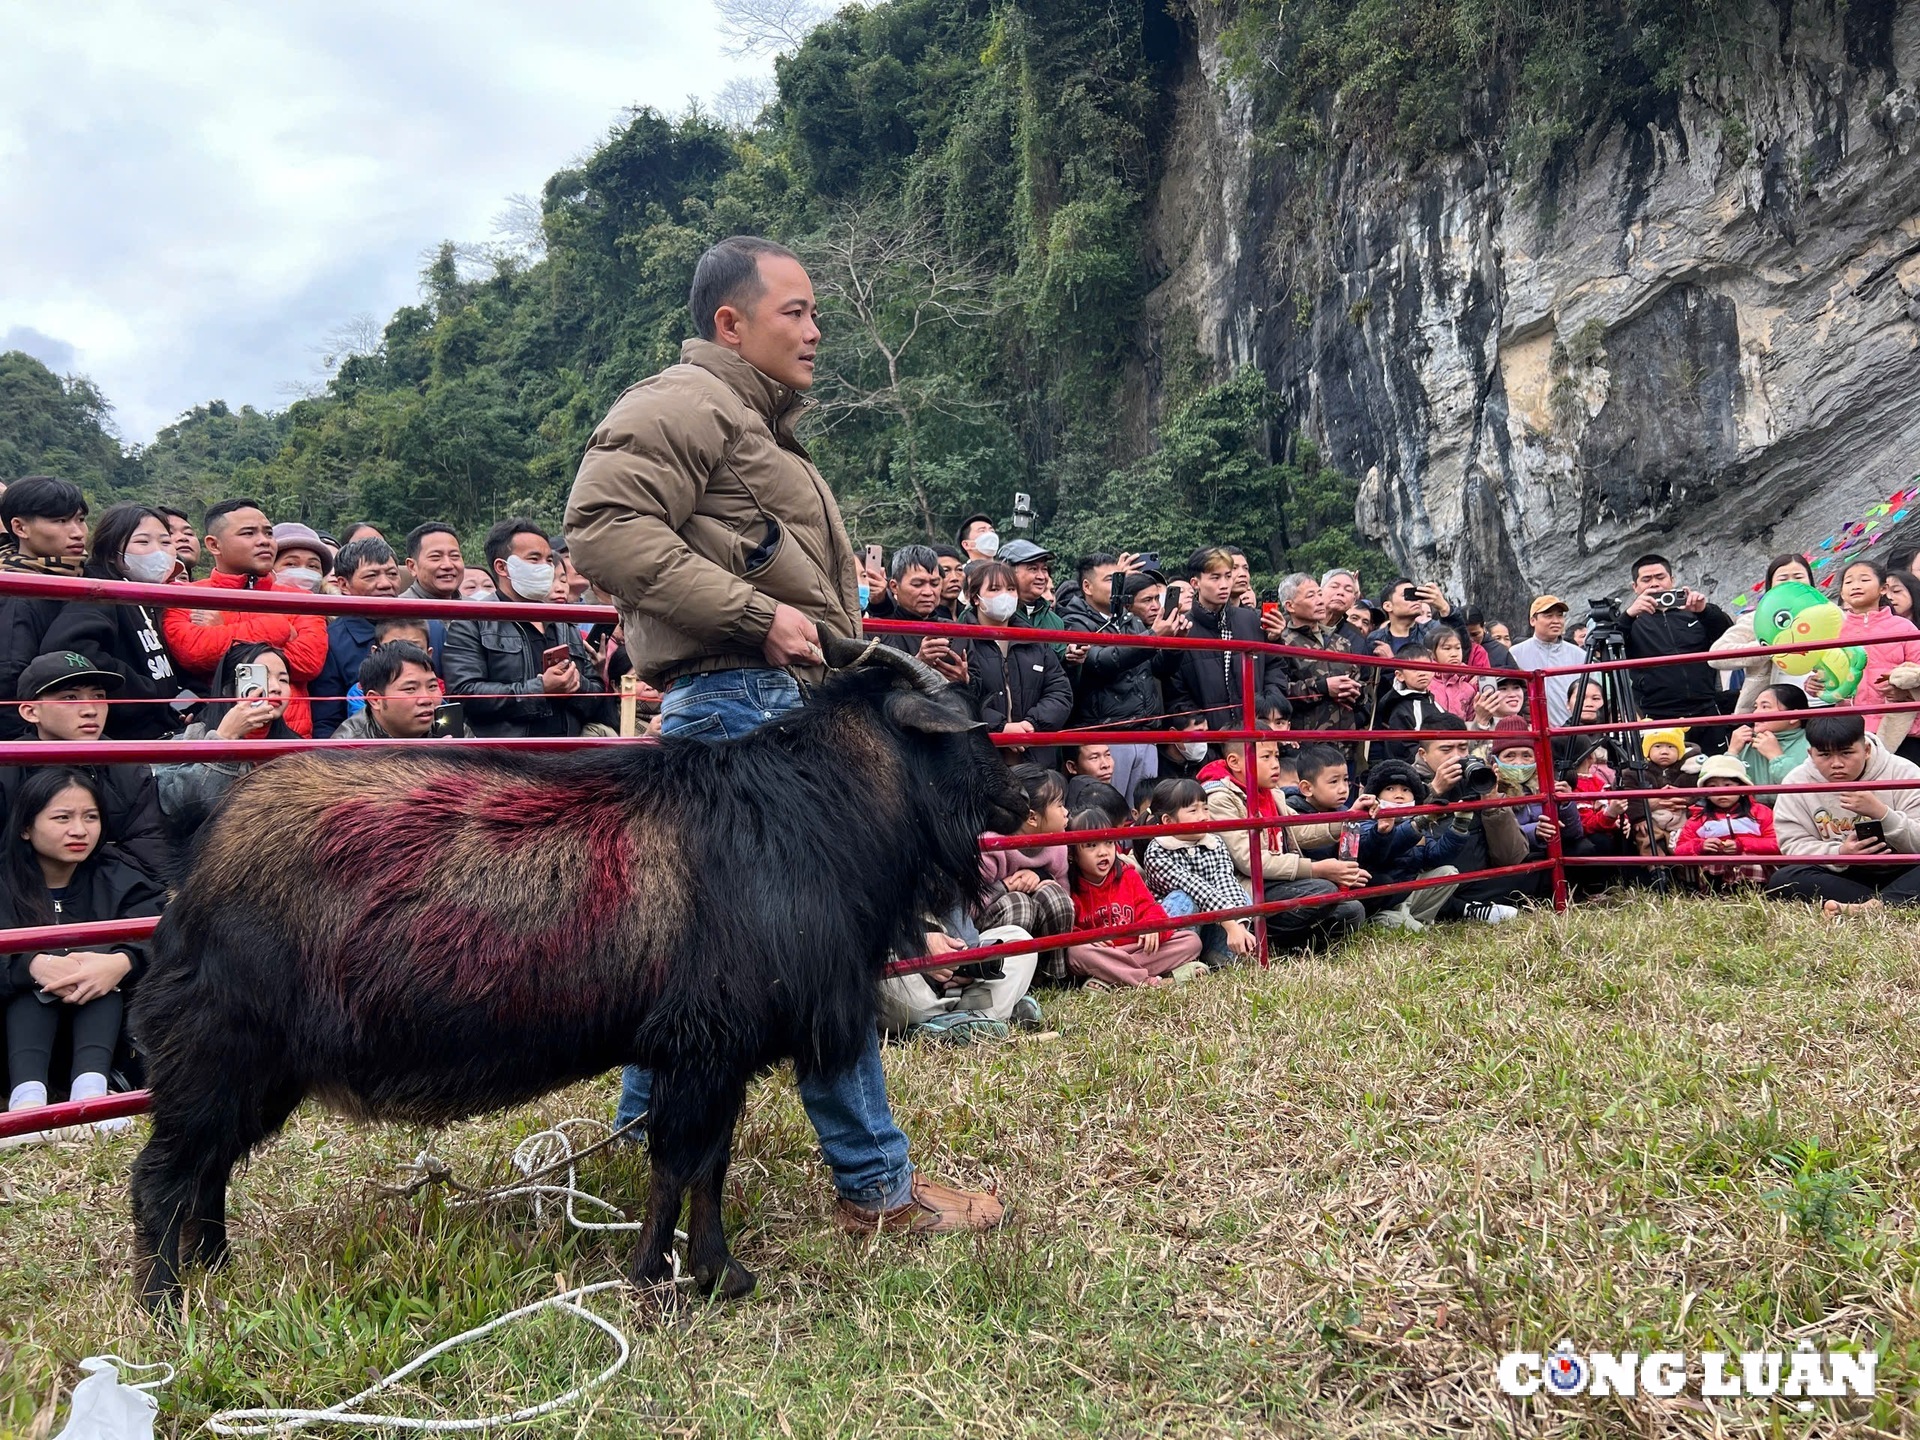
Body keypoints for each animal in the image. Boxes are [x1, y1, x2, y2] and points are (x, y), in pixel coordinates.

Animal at [127, 648, 1029, 1313]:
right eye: (969, 727)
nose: (1022, 799)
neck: (815, 811)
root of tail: (199, 857)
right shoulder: (705, 1042)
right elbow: (678, 1166)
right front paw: (659, 1278)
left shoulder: (716, 1050)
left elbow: (710, 1165)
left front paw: (717, 1274)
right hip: (216, 1044)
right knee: (163, 1177)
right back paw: (165, 1304)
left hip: (255, 1066)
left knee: (207, 1170)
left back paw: (216, 1269)